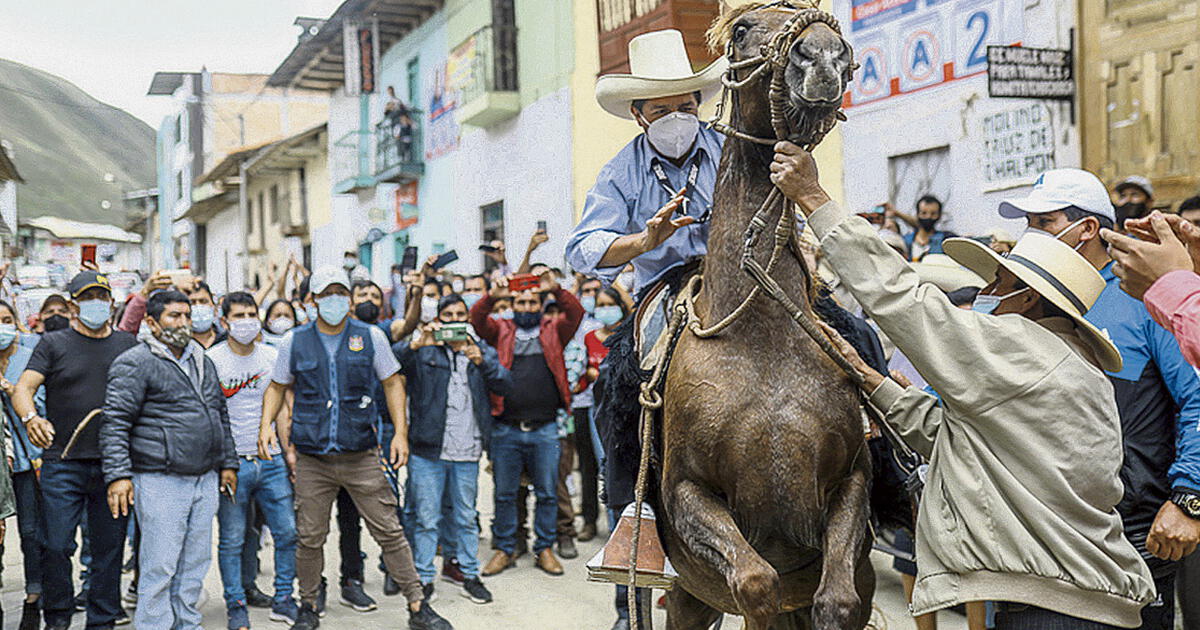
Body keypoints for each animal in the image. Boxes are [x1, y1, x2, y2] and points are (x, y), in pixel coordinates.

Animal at [657, 2, 873, 624]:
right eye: (741, 28)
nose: (823, 55)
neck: (760, 341)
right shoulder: (688, 494)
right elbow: (755, 583)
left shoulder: (851, 483)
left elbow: (837, 601)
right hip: (689, 595)